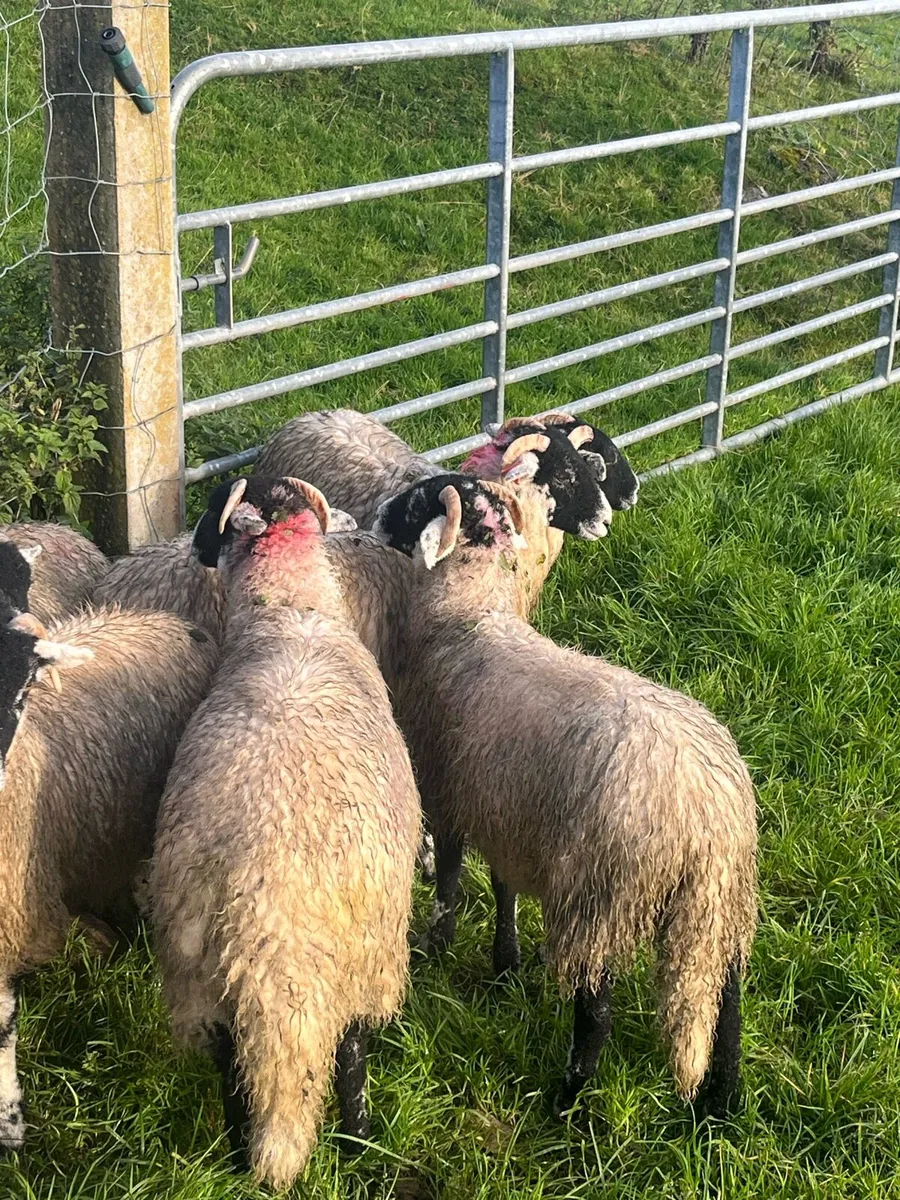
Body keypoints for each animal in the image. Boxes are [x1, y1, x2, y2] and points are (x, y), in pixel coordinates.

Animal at [151, 475, 421, 1188]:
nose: (195, 547)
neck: (290, 611)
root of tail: (270, 929)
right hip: (364, 957)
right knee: (351, 1049)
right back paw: (359, 1145)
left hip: (203, 976)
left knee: (230, 1069)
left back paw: (237, 1159)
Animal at [374, 474, 757, 1120]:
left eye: (421, 499)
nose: (376, 515)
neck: (469, 615)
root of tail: (707, 817)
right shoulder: (504, 810)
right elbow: (502, 887)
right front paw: (504, 964)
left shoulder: (450, 794)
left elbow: (449, 882)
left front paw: (435, 949)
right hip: (718, 907)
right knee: (726, 1007)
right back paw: (720, 1106)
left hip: (600, 897)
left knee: (597, 1015)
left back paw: (568, 1102)